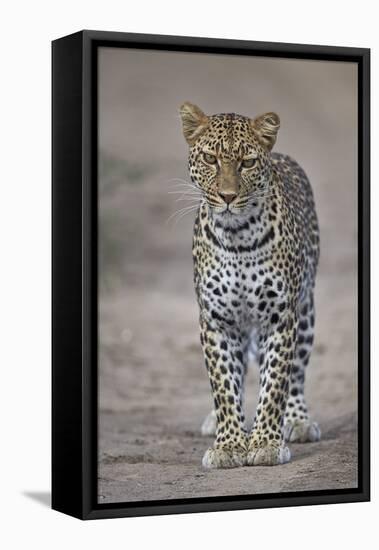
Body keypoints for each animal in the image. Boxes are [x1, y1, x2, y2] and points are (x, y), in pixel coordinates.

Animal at [180, 100, 322, 470]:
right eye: (210, 159)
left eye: (247, 162)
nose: (228, 196)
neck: (237, 236)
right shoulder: (216, 321)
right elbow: (223, 385)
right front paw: (229, 444)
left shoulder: (280, 318)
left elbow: (275, 385)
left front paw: (266, 443)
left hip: (306, 312)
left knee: (297, 375)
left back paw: (297, 421)